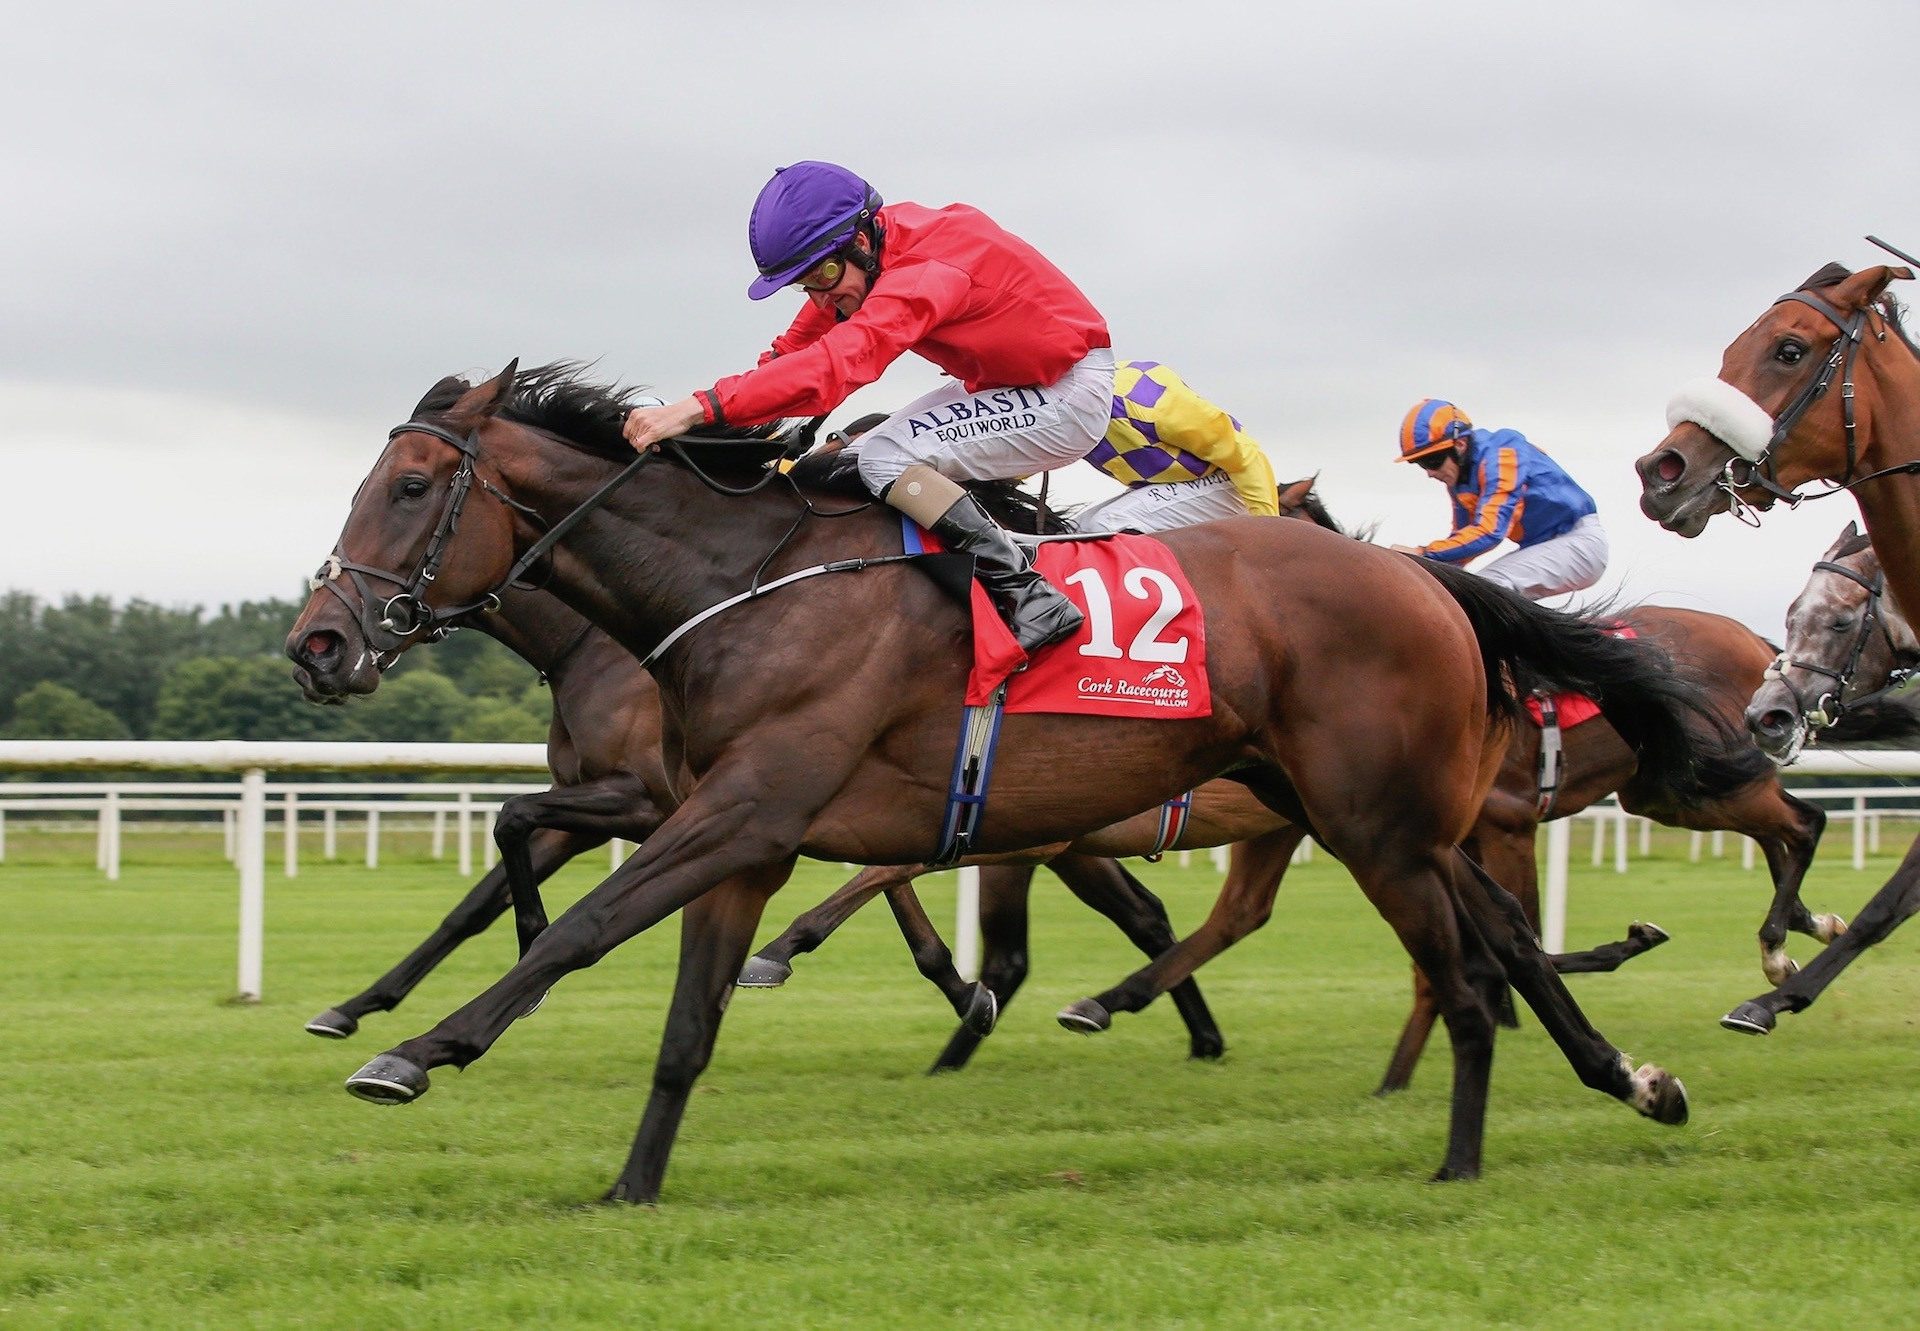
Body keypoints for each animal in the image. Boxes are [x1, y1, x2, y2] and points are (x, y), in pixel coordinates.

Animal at [288, 361, 1712, 1190]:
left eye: (409, 485)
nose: (321, 640)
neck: (743, 583)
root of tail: (1422, 577)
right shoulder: (750, 830)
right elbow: (684, 1018)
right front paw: (632, 1183)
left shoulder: (732, 805)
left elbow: (574, 923)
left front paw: (415, 1047)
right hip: (1351, 811)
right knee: (1497, 936)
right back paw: (1629, 1077)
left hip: (1374, 818)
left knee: (1467, 971)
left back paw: (1461, 1158)